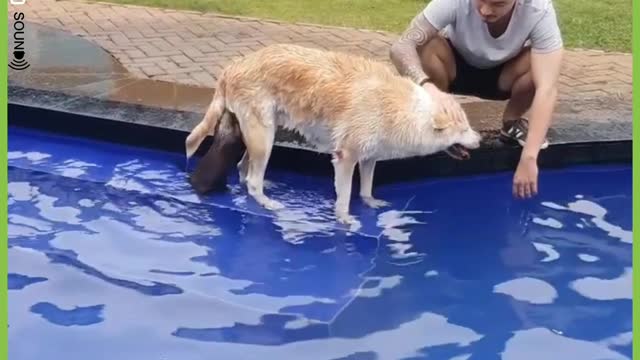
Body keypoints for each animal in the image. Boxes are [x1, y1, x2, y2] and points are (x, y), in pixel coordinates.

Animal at [182, 43, 478, 224]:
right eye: (464, 128)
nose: (481, 139)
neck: (409, 110)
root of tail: (232, 66)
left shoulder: (369, 157)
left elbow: (366, 187)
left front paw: (370, 203)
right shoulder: (346, 157)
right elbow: (345, 196)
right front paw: (344, 220)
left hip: (264, 134)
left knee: (245, 170)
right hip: (263, 136)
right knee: (253, 179)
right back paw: (267, 202)